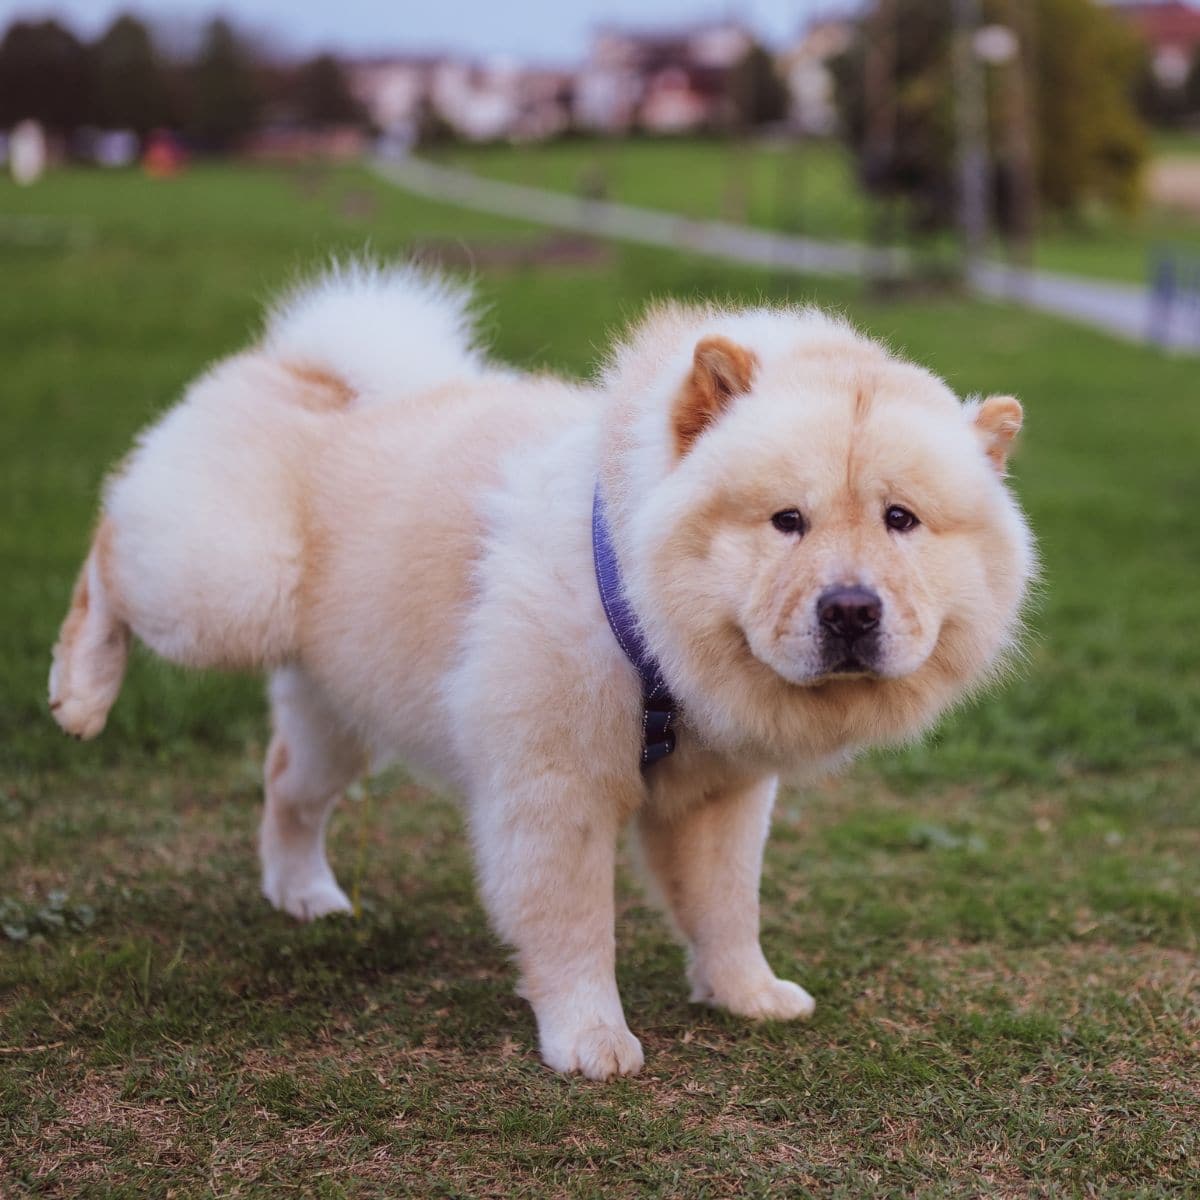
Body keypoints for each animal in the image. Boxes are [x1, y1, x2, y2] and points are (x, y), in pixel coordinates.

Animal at [51, 267, 1036, 1084]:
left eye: (901, 519)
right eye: (786, 520)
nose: (851, 610)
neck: (650, 629)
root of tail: (304, 367)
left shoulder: (721, 796)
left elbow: (727, 907)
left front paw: (749, 995)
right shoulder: (555, 785)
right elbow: (573, 927)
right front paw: (592, 1042)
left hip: (340, 710)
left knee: (287, 785)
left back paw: (305, 895)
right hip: (225, 589)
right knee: (107, 546)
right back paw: (80, 689)